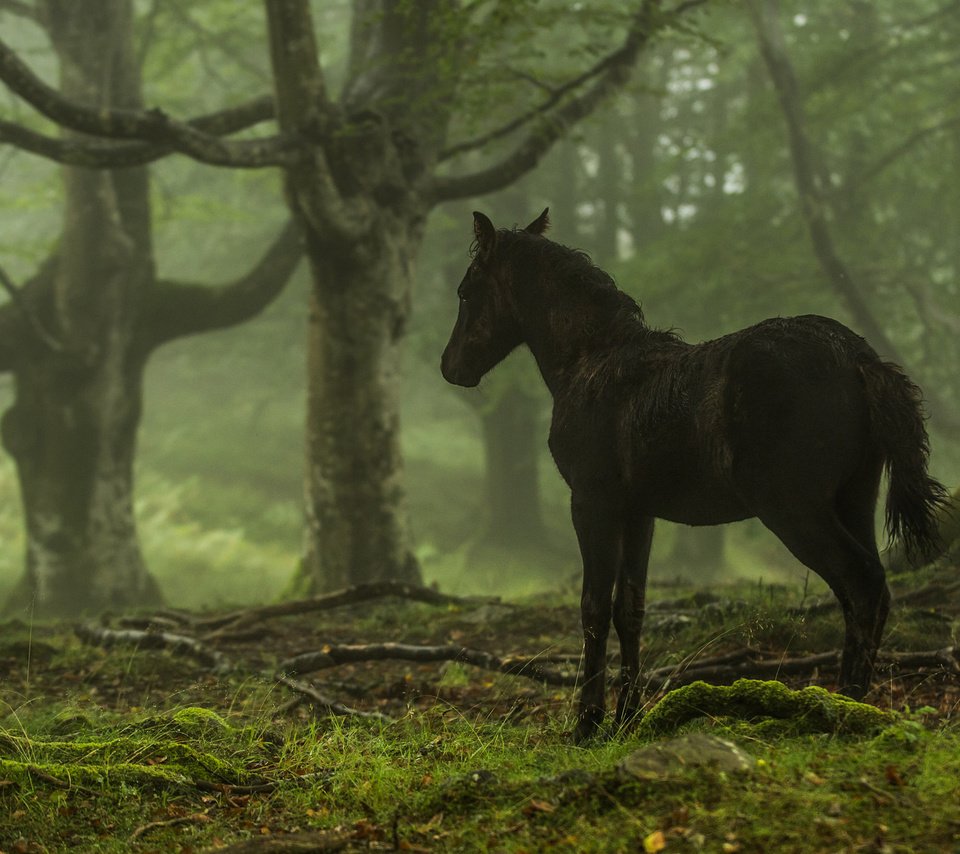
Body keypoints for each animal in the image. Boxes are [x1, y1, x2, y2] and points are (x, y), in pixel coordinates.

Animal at [442, 209, 944, 744]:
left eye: (466, 291)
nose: (450, 367)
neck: (593, 364)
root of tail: (859, 357)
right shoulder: (638, 513)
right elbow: (630, 609)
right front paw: (627, 718)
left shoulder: (592, 503)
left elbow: (593, 607)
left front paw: (587, 722)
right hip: (854, 498)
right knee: (864, 592)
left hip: (794, 508)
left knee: (863, 583)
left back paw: (844, 709)